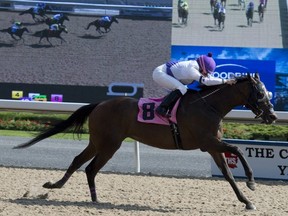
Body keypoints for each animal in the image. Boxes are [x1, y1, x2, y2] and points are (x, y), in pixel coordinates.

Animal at [13, 74, 276, 209]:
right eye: (260, 93)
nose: (272, 116)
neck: (209, 105)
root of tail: (99, 104)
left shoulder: (212, 146)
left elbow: (228, 174)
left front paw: (247, 201)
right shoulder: (208, 142)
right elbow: (237, 150)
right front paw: (252, 182)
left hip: (99, 142)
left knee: (80, 162)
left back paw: (64, 189)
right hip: (109, 144)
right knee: (90, 167)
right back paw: (90, 198)